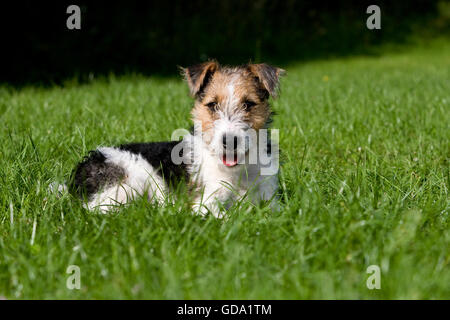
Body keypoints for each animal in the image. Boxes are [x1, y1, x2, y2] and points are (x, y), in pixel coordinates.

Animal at [67, 61, 284, 218]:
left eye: (248, 104)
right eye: (212, 105)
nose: (229, 141)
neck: (239, 172)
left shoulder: (269, 198)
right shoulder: (205, 203)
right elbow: (226, 217)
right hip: (130, 181)